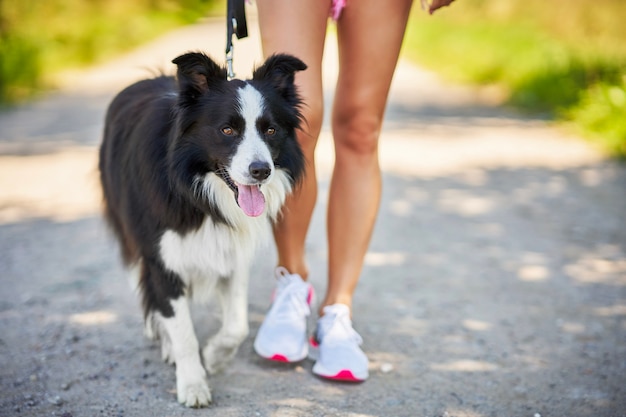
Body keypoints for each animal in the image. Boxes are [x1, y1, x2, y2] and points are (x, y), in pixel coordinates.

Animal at [97, 52, 308, 406]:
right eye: (227, 129)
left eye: (270, 129)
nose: (261, 171)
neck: (200, 192)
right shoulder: (163, 259)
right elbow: (182, 330)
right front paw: (193, 384)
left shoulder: (232, 252)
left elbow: (237, 326)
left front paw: (214, 357)